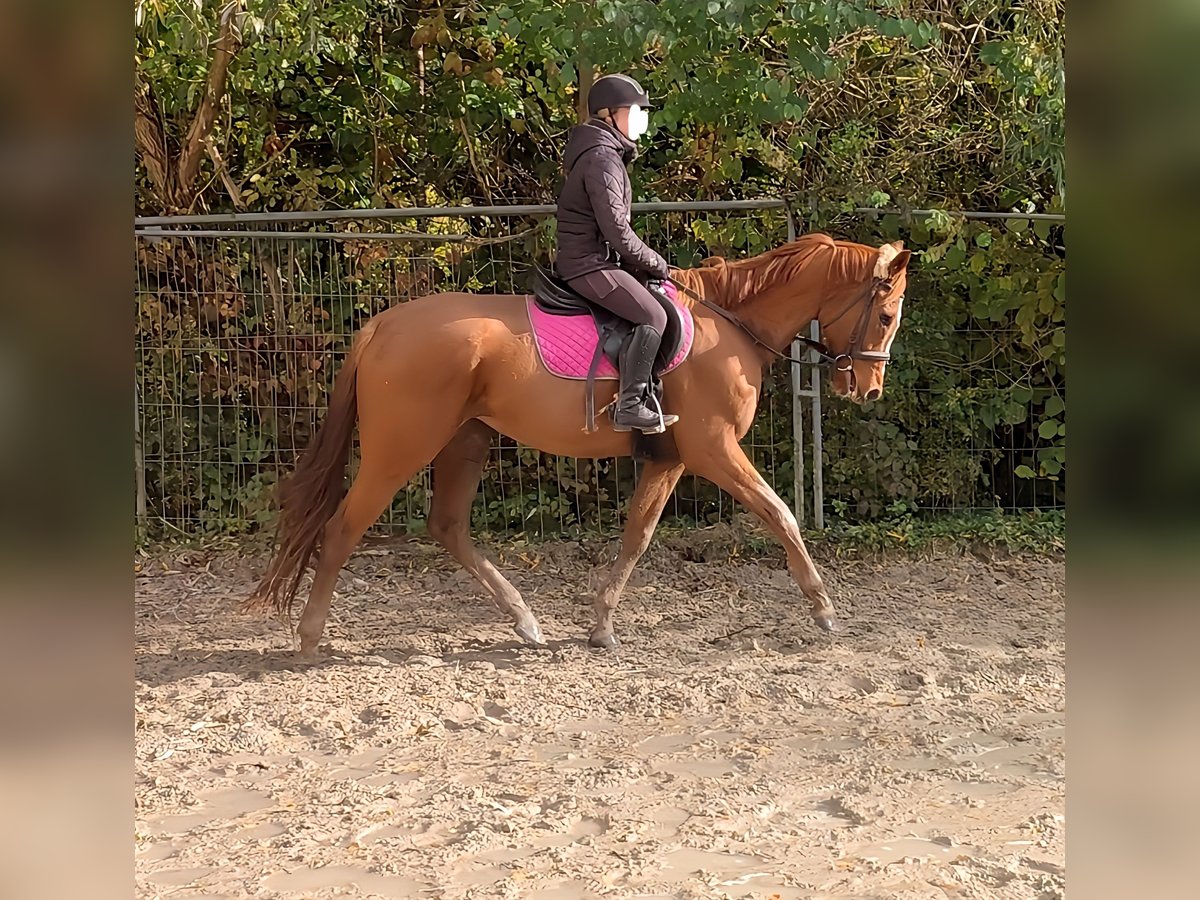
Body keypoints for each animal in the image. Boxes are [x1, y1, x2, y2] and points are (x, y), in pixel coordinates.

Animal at [248, 232, 912, 657]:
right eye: (885, 317)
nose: (870, 388)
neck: (729, 325)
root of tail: (383, 324)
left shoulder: (670, 460)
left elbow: (637, 536)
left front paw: (600, 626)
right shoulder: (713, 450)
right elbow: (781, 515)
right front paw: (824, 609)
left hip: (466, 441)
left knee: (447, 527)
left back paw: (525, 622)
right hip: (401, 449)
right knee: (343, 528)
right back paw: (309, 638)